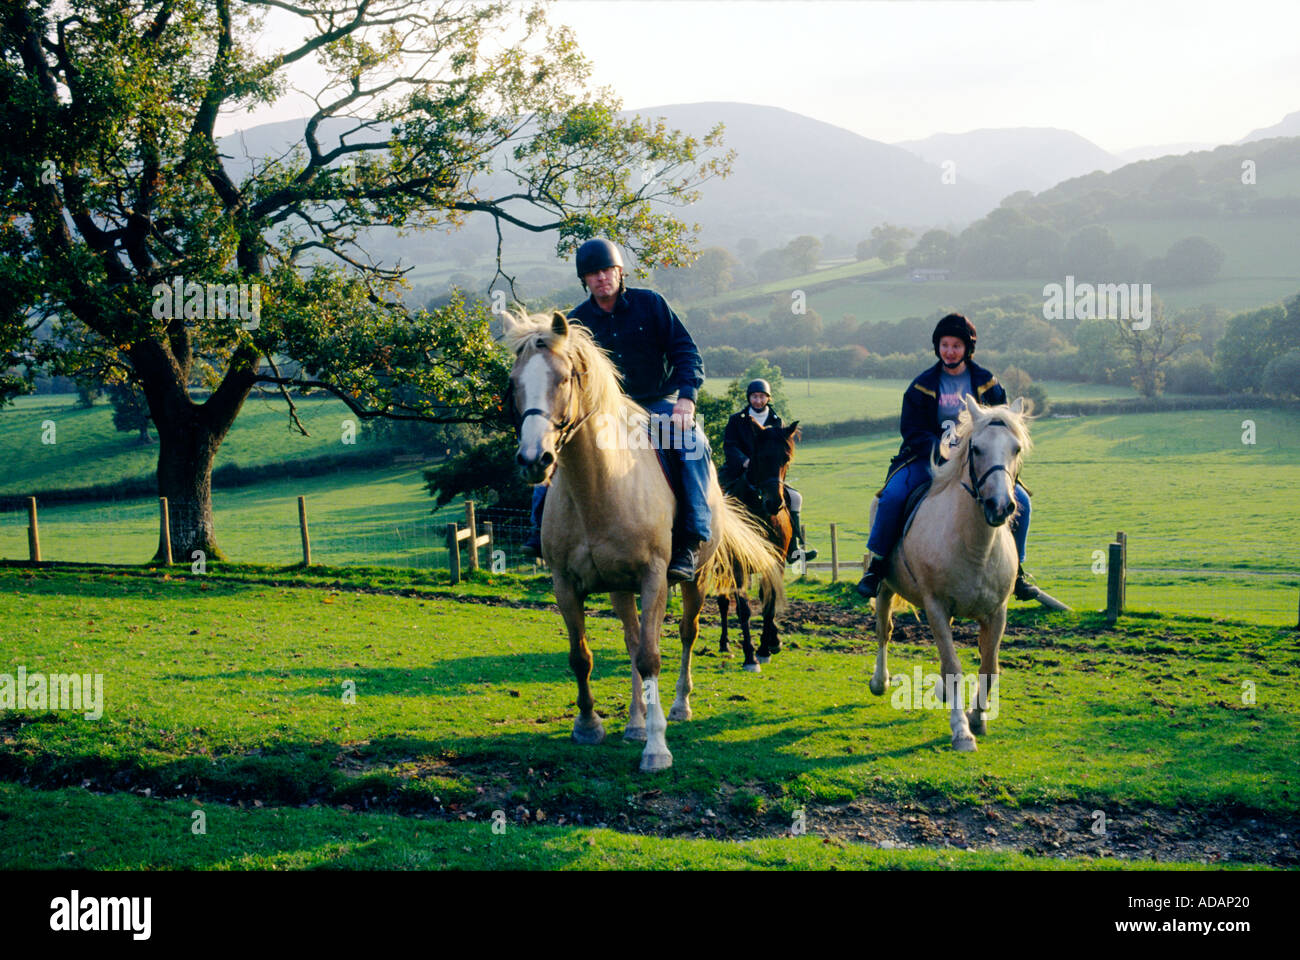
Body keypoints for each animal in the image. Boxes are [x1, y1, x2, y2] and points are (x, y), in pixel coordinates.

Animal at [501, 310, 774, 775]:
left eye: (563, 378)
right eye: (515, 382)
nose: (534, 460)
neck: (600, 486)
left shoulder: (654, 578)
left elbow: (651, 657)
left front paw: (656, 747)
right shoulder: (565, 585)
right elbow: (583, 656)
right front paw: (589, 726)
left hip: (694, 580)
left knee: (685, 634)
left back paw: (679, 706)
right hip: (619, 588)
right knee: (632, 642)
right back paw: (633, 722)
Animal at [717, 416, 795, 671]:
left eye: (786, 458)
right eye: (760, 457)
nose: (774, 503)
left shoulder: (776, 562)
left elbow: (769, 603)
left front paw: (766, 647)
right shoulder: (737, 565)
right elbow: (743, 608)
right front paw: (750, 656)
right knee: (723, 602)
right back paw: (725, 644)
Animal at [868, 395, 1029, 749]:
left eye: (1016, 449)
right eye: (976, 449)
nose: (1000, 506)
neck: (976, 547)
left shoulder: (997, 612)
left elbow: (989, 666)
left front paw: (978, 718)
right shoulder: (936, 606)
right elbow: (955, 667)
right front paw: (962, 731)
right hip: (886, 585)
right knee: (884, 629)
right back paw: (879, 680)